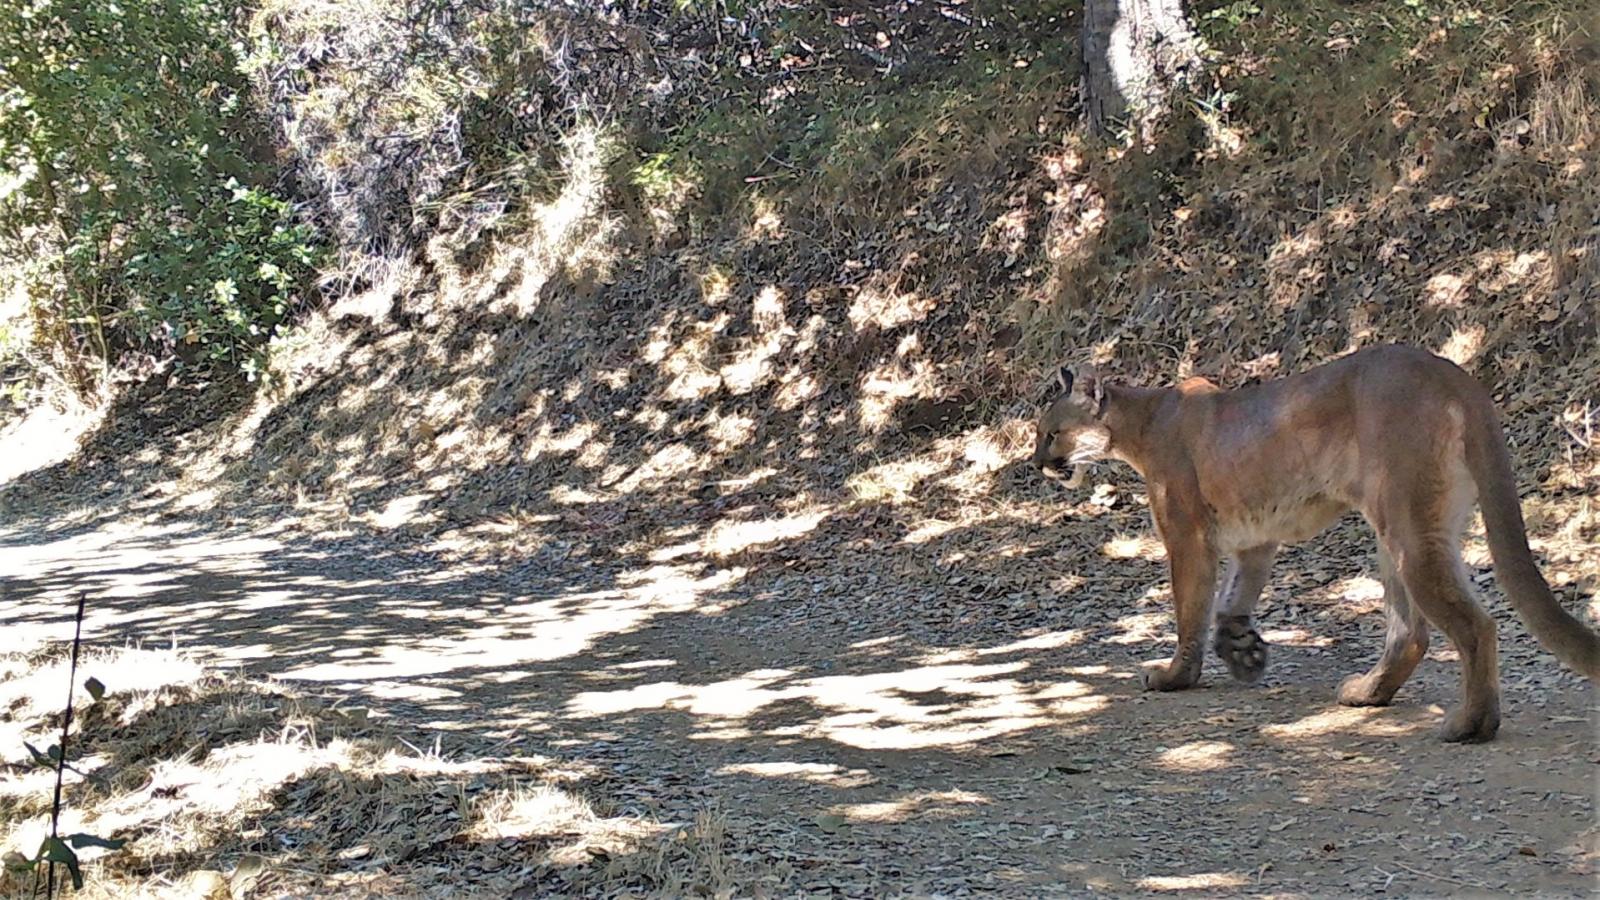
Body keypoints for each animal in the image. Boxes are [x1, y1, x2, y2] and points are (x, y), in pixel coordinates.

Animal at [1036, 339, 1600, 739]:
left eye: (1051, 433)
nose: (1036, 463)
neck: (1144, 418)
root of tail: (1453, 373)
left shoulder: (1187, 534)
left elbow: (1190, 609)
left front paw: (1177, 675)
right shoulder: (1255, 539)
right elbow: (1230, 599)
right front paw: (1242, 650)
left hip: (1409, 527)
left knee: (1475, 625)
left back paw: (1471, 725)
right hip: (1397, 528)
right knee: (1411, 631)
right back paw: (1368, 693)